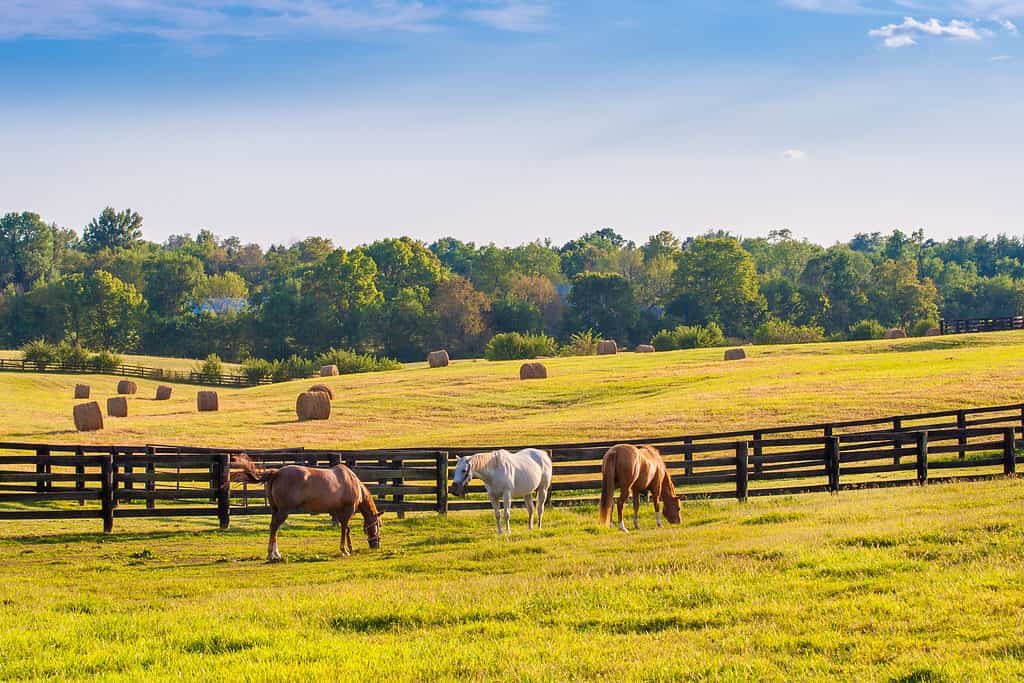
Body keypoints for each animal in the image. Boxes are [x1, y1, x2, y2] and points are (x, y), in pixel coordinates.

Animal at [230, 454, 382, 561]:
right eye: (378, 525)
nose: (376, 545)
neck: (352, 482)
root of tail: (277, 473)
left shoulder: (339, 513)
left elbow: (347, 530)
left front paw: (350, 548)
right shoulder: (346, 512)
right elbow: (345, 529)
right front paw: (344, 550)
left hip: (275, 510)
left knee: (273, 528)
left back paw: (275, 553)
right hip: (283, 512)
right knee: (274, 528)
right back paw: (272, 554)